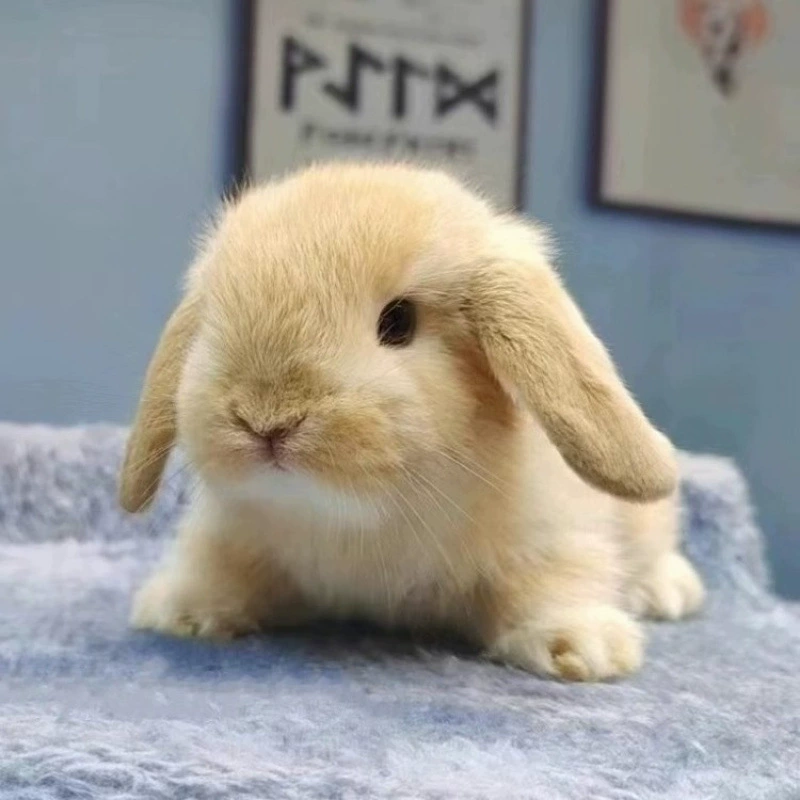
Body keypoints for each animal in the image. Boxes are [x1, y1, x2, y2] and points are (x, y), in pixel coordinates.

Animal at [120, 161, 704, 682]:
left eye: (399, 322)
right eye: (213, 322)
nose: (267, 419)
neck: (358, 518)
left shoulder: (555, 532)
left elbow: (554, 578)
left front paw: (580, 646)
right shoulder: (228, 533)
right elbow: (216, 565)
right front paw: (180, 609)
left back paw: (668, 592)